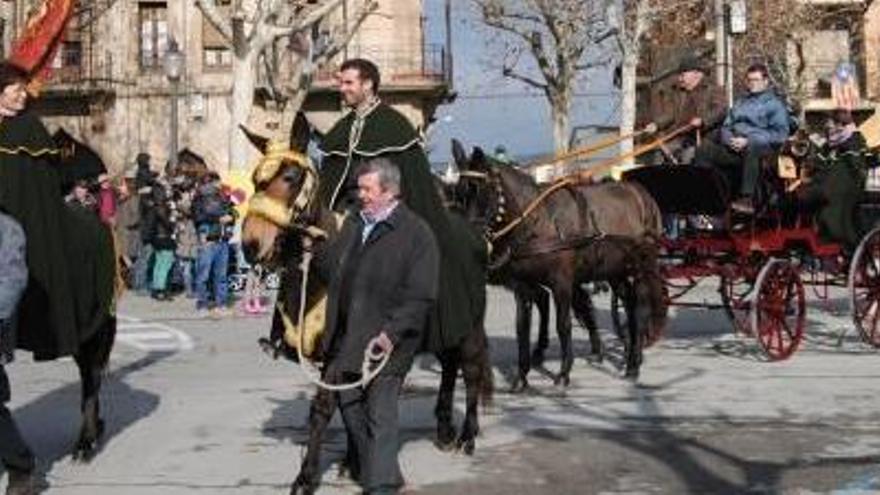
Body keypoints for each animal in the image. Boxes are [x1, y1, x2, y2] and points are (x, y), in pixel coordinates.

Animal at [237, 116, 492, 495]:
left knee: (471, 371)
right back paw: (445, 429)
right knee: (449, 366)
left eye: (291, 177)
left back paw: (467, 437)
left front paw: (307, 477)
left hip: (469, 325)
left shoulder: (340, 351)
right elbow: (348, 404)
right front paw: (353, 462)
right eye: (256, 179)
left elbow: (324, 407)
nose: (252, 244)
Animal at [450, 143, 664, 384]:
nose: (469, 242)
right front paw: (521, 376)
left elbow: (563, 325)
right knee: (627, 303)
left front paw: (563, 372)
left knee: (640, 308)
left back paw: (634, 363)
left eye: (480, 190)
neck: (538, 221)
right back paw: (630, 356)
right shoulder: (522, 286)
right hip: (614, 270)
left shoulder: (561, 282)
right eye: (458, 193)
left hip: (642, 267)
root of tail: (640, 192)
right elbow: (522, 327)